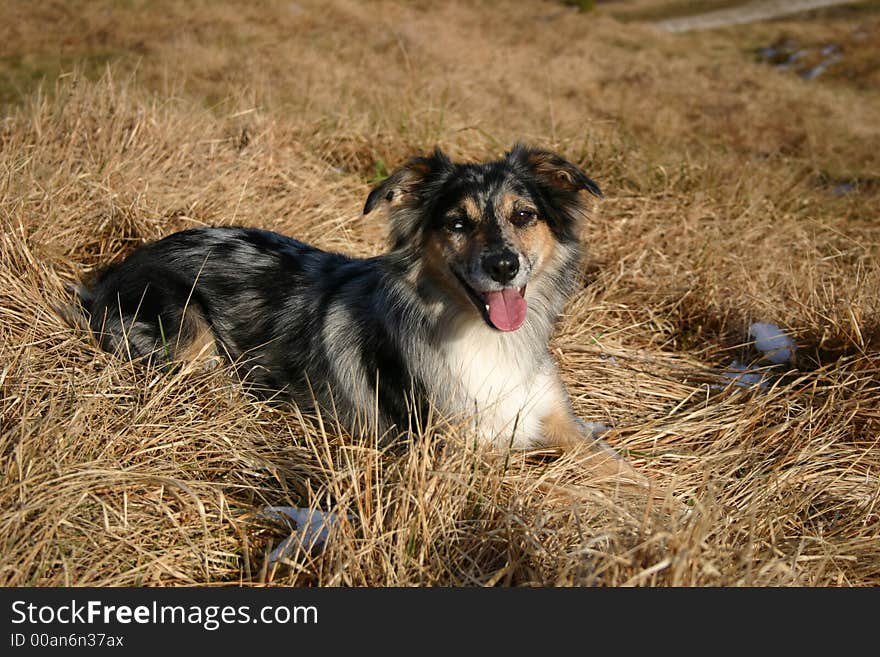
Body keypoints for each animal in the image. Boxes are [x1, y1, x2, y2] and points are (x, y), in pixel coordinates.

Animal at [77, 145, 648, 482]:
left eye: (524, 215)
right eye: (457, 224)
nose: (504, 266)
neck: (485, 337)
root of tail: (117, 267)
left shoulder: (554, 417)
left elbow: (621, 472)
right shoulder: (455, 453)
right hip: (191, 338)